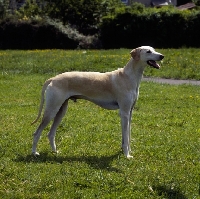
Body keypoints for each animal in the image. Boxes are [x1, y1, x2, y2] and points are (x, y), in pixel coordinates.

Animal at [31, 45, 164, 158]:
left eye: (154, 49)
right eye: (148, 51)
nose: (162, 56)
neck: (128, 76)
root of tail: (53, 78)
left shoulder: (129, 112)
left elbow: (127, 135)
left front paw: (126, 152)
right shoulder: (124, 112)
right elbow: (126, 137)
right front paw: (127, 155)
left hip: (61, 111)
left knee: (50, 134)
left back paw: (55, 152)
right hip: (51, 110)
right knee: (37, 133)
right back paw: (34, 153)